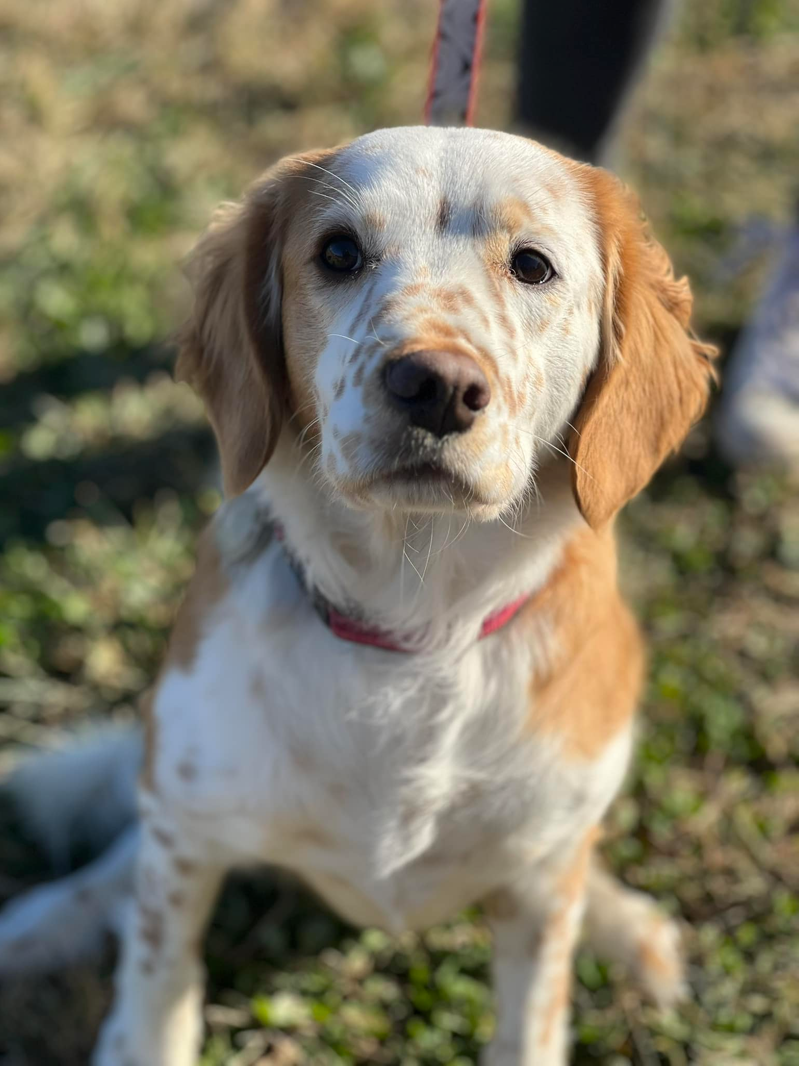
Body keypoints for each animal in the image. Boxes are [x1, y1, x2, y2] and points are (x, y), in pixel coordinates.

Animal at [0, 126, 716, 1067]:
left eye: (532, 265)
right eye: (338, 253)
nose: (436, 385)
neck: (414, 627)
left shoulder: (538, 894)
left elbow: (531, 1017)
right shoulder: (188, 830)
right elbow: (157, 979)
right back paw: (45, 921)